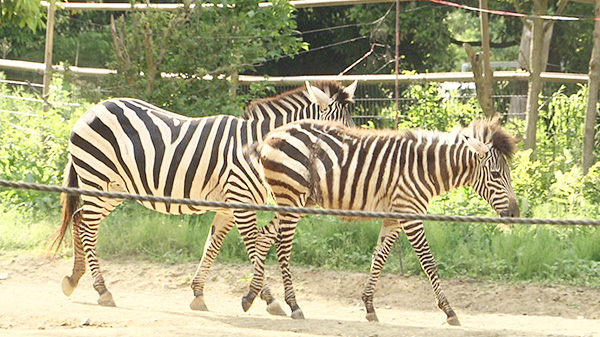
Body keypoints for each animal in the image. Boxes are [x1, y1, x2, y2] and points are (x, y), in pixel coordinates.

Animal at [51, 80, 356, 314]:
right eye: (337, 131)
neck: (258, 149)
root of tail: (93, 108)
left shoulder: (228, 206)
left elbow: (213, 246)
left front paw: (198, 294)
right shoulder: (241, 201)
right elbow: (251, 246)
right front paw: (268, 299)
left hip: (112, 188)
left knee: (80, 219)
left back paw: (74, 279)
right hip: (96, 177)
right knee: (89, 228)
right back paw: (102, 290)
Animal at [248, 116, 520, 322]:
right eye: (496, 174)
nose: (515, 214)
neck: (425, 169)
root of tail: (271, 135)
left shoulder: (394, 217)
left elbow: (378, 258)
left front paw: (369, 306)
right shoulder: (409, 214)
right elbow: (428, 262)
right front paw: (448, 310)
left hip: (297, 202)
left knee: (263, 236)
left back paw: (255, 296)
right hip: (291, 196)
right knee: (282, 247)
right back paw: (293, 304)